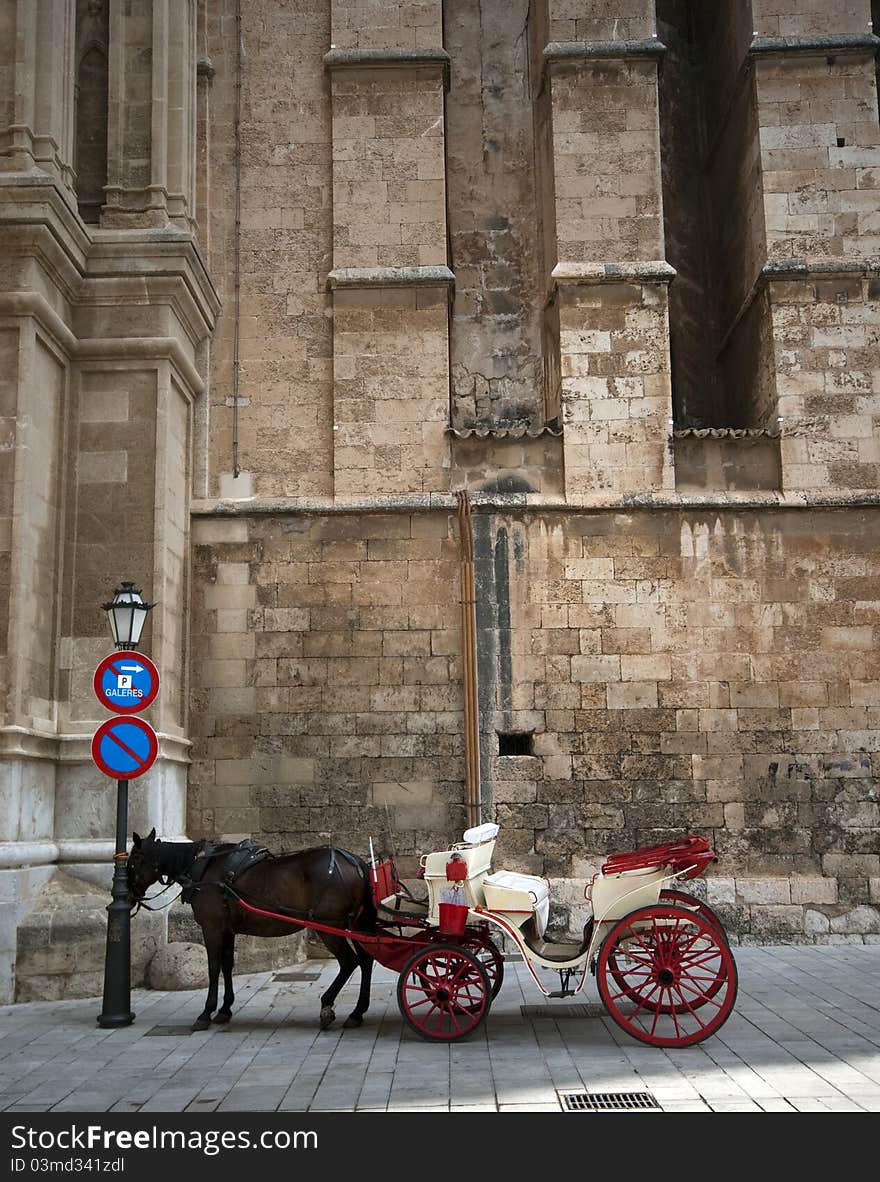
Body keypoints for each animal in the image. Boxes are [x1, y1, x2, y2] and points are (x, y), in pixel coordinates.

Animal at [128, 832, 375, 1035]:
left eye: (132, 863)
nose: (127, 896)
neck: (203, 866)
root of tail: (356, 862)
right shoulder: (227, 929)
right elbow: (227, 965)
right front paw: (225, 1009)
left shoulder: (211, 927)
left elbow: (213, 967)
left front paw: (206, 1013)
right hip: (353, 924)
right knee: (365, 960)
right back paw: (357, 1012)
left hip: (328, 926)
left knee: (349, 962)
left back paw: (327, 1005)